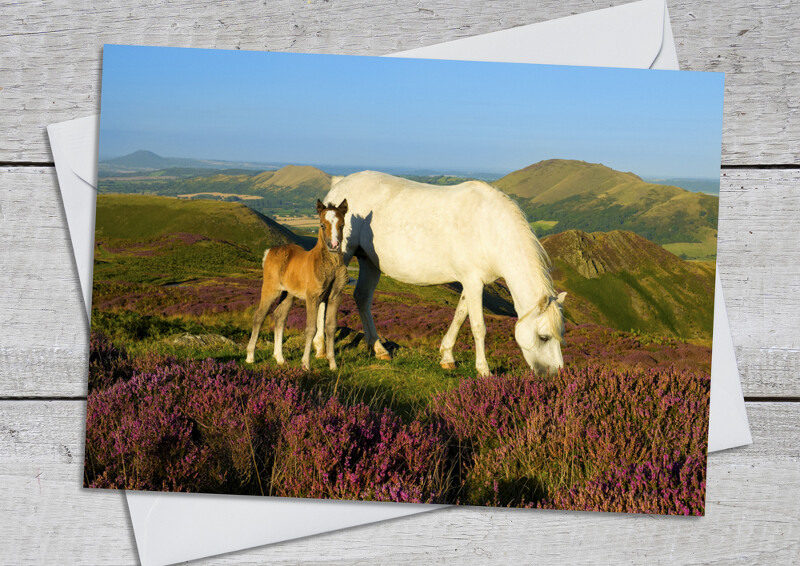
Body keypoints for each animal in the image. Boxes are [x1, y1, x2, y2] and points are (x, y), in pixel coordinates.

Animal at [245, 200, 348, 372]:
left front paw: (333, 364)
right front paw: (306, 364)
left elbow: (331, 327)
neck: (329, 265)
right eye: (322, 225)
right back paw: (250, 356)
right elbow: (311, 328)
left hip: (288, 294)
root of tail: (269, 251)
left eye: (342, 224)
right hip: (271, 289)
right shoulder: (313, 297)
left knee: (279, 317)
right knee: (259, 316)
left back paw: (280, 358)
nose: (334, 245)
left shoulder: (335, 296)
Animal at [316, 171, 564, 380]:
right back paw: (320, 348)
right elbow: (478, 327)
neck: (490, 229)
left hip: (369, 262)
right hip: (340, 253)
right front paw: (484, 370)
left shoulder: (472, 283)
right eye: (544, 337)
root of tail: (339, 184)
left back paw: (378, 348)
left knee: (362, 297)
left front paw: (447, 356)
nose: (556, 375)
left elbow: (460, 315)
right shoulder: (473, 281)